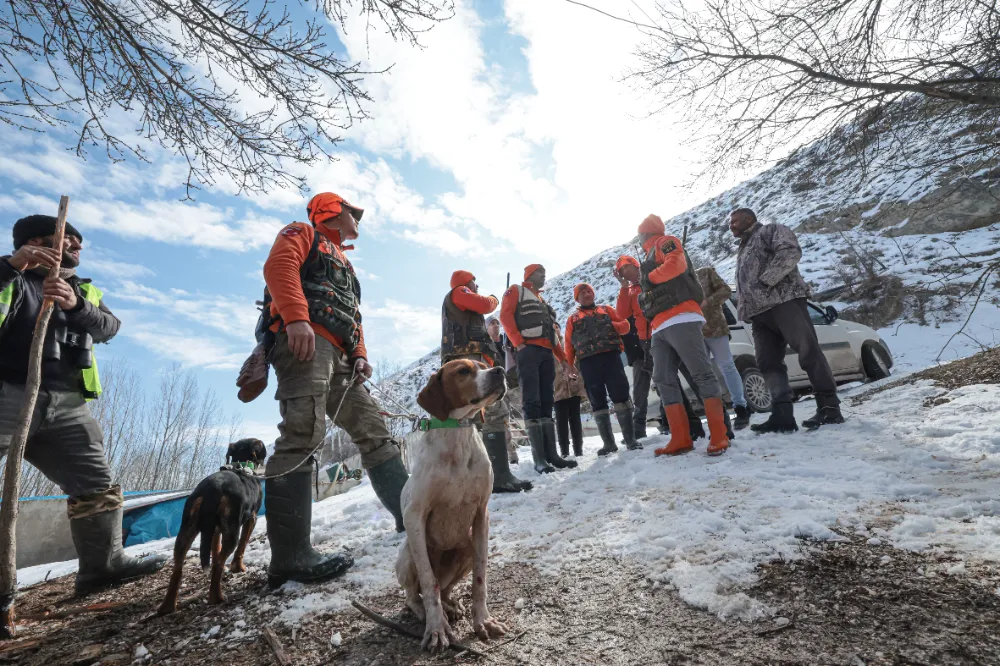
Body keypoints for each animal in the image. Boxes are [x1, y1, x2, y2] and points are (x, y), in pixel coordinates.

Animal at [157, 436, 268, 612]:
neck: (243, 465)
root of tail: (212, 490)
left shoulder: (215, 530)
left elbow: (215, 548)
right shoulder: (252, 518)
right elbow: (242, 546)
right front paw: (238, 567)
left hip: (186, 530)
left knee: (178, 568)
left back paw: (167, 606)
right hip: (232, 531)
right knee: (219, 563)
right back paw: (216, 597)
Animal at [396, 358, 512, 648]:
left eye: (484, 365)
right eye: (463, 371)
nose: (499, 371)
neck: (457, 434)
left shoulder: (481, 515)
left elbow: (480, 579)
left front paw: (483, 621)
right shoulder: (414, 517)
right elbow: (429, 583)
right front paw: (437, 628)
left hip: (466, 546)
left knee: (446, 588)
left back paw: (451, 605)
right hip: (408, 554)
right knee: (415, 594)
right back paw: (424, 612)